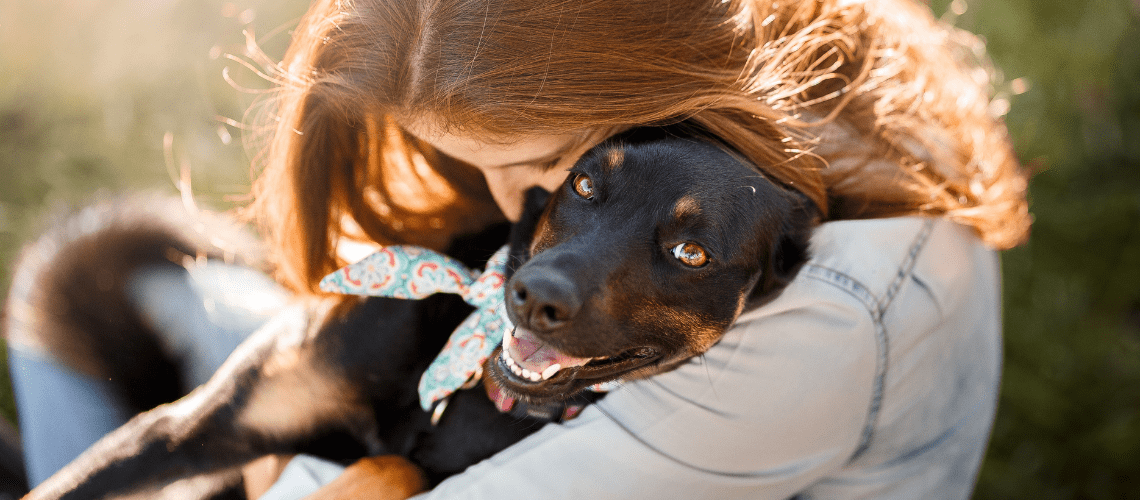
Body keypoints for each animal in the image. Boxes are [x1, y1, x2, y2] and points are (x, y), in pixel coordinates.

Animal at [17, 126, 820, 500]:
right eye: (586, 185)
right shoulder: (187, 431)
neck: (456, 379)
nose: (532, 295)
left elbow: (394, 467)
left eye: (691, 252)